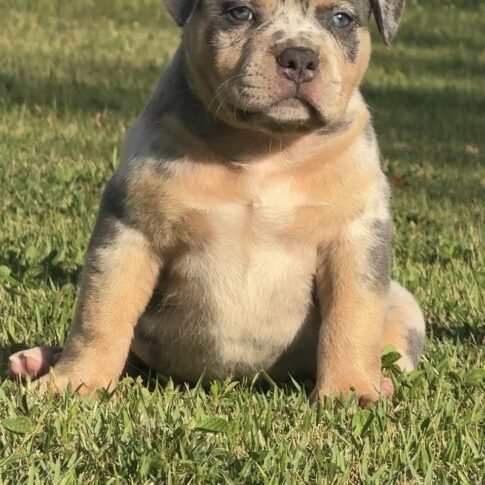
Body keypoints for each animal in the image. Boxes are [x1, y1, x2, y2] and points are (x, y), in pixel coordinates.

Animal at [9, 0, 425, 404]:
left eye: (341, 19)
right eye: (240, 13)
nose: (299, 58)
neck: (264, 147)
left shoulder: (355, 239)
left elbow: (353, 317)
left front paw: (350, 391)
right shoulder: (129, 231)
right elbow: (101, 313)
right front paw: (75, 382)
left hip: (405, 307)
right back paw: (37, 360)